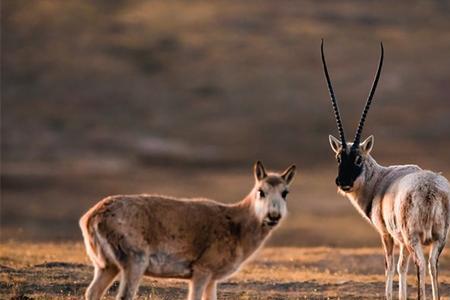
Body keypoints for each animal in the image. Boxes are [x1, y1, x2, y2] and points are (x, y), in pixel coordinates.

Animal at [79, 162, 298, 300]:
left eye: (285, 192)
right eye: (261, 191)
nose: (273, 215)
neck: (238, 227)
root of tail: (90, 218)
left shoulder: (213, 278)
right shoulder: (202, 269)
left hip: (107, 266)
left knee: (92, 292)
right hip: (135, 260)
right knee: (124, 295)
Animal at [322, 40, 448, 300]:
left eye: (358, 159)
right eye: (339, 157)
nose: (343, 182)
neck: (380, 180)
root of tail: (430, 190)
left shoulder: (387, 235)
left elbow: (391, 266)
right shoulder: (401, 240)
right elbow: (402, 267)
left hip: (413, 238)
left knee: (421, 264)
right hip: (439, 238)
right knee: (433, 265)